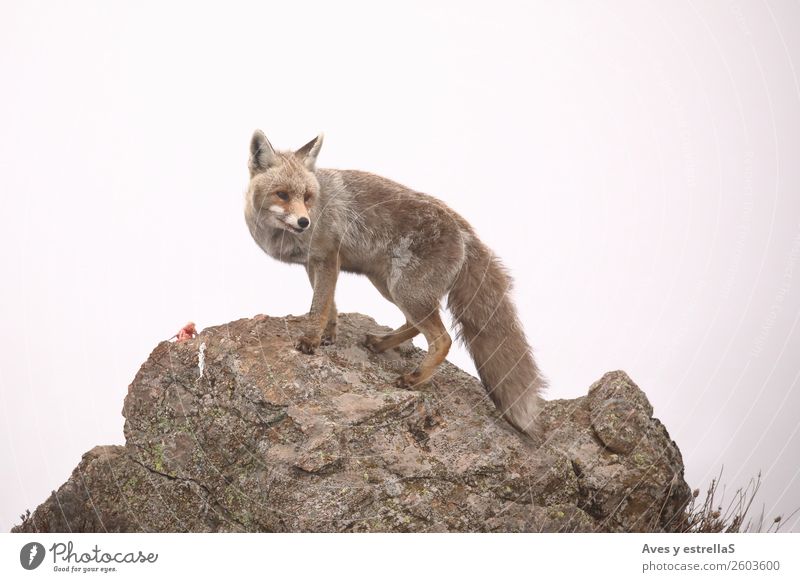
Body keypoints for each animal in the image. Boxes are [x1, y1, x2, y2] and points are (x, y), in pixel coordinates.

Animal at [242, 130, 544, 436]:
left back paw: (413, 379)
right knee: (414, 325)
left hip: (405, 291)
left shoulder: (327, 259)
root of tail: (464, 229)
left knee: (442, 339)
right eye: (282, 194)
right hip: (390, 286)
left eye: (307, 197)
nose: (304, 222)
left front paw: (310, 341)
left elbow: (319, 306)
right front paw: (328, 335)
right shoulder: (315, 264)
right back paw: (380, 343)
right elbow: (329, 305)